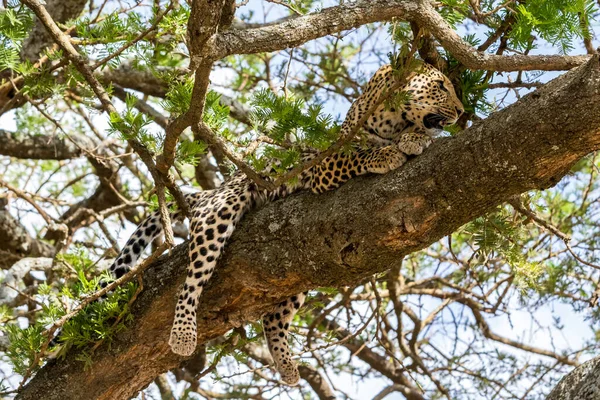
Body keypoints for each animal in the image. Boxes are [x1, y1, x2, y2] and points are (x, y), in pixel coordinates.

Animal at [109, 58, 464, 384]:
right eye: (441, 86)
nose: (461, 112)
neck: (391, 120)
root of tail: (216, 188)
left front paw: (415, 138)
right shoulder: (325, 165)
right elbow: (357, 154)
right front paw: (388, 153)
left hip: (298, 271)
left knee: (273, 318)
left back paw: (287, 365)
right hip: (220, 210)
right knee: (192, 282)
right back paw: (183, 333)